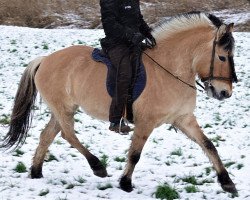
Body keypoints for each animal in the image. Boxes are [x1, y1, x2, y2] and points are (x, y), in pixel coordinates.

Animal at [0, 12, 238, 194]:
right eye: (222, 57)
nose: (224, 92)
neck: (170, 70)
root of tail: (44, 60)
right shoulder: (145, 122)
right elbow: (135, 154)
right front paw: (125, 183)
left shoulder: (183, 118)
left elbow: (208, 145)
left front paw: (227, 182)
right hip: (63, 108)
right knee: (68, 135)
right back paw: (97, 166)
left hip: (62, 108)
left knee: (47, 135)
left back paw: (36, 171)